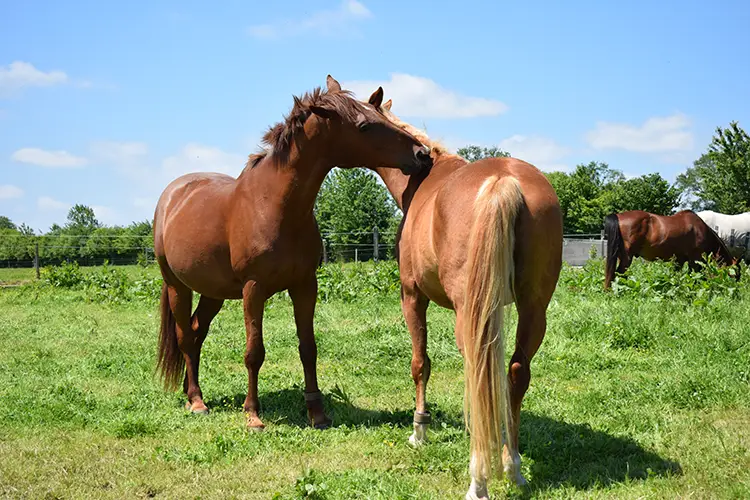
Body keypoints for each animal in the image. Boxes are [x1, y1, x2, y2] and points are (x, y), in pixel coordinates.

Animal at [153, 77, 432, 430]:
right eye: (365, 125)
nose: (423, 155)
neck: (275, 205)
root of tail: (173, 194)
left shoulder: (305, 285)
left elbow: (308, 348)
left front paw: (317, 412)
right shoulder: (253, 289)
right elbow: (254, 352)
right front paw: (253, 415)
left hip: (213, 293)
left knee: (196, 333)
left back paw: (192, 393)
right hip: (178, 286)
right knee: (186, 338)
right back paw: (197, 401)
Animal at [336, 73, 564, 496]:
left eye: (365, 122)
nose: (418, 155)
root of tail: (503, 181)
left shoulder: (412, 296)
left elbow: (420, 363)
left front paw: (419, 430)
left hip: (468, 313)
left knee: (478, 372)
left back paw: (479, 478)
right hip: (533, 309)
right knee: (514, 373)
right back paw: (512, 466)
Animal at [604, 210, 740, 290]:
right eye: (736, 272)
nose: (738, 286)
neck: (701, 230)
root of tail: (618, 216)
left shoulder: (680, 260)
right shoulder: (694, 260)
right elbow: (697, 277)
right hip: (627, 258)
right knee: (618, 274)